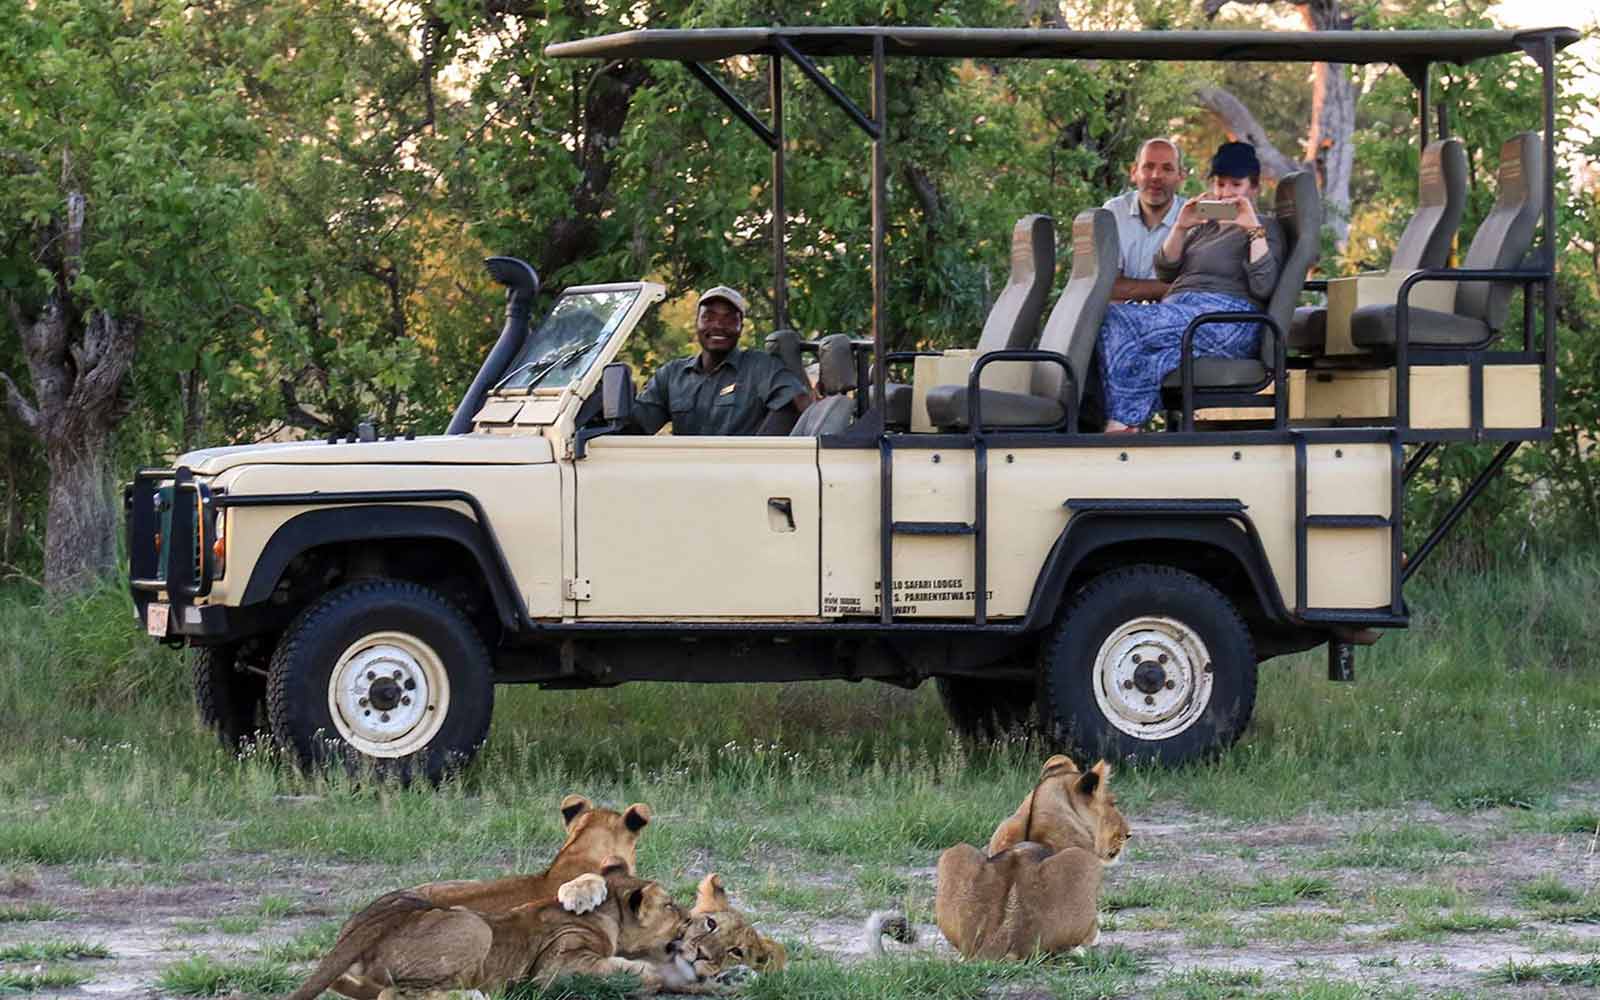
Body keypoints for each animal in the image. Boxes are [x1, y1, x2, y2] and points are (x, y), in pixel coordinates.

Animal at [287, 862, 716, 1000]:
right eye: (671, 906)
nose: (693, 920)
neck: (608, 917)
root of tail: (364, 924)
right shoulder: (558, 966)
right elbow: (627, 968)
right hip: (475, 925)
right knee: (394, 995)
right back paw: (474, 995)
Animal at [931, 755, 1130, 960]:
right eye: (1113, 803)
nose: (1128, 834)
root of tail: (999, 938)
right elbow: (1096, 933)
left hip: (954, 851)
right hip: (1084, 861)